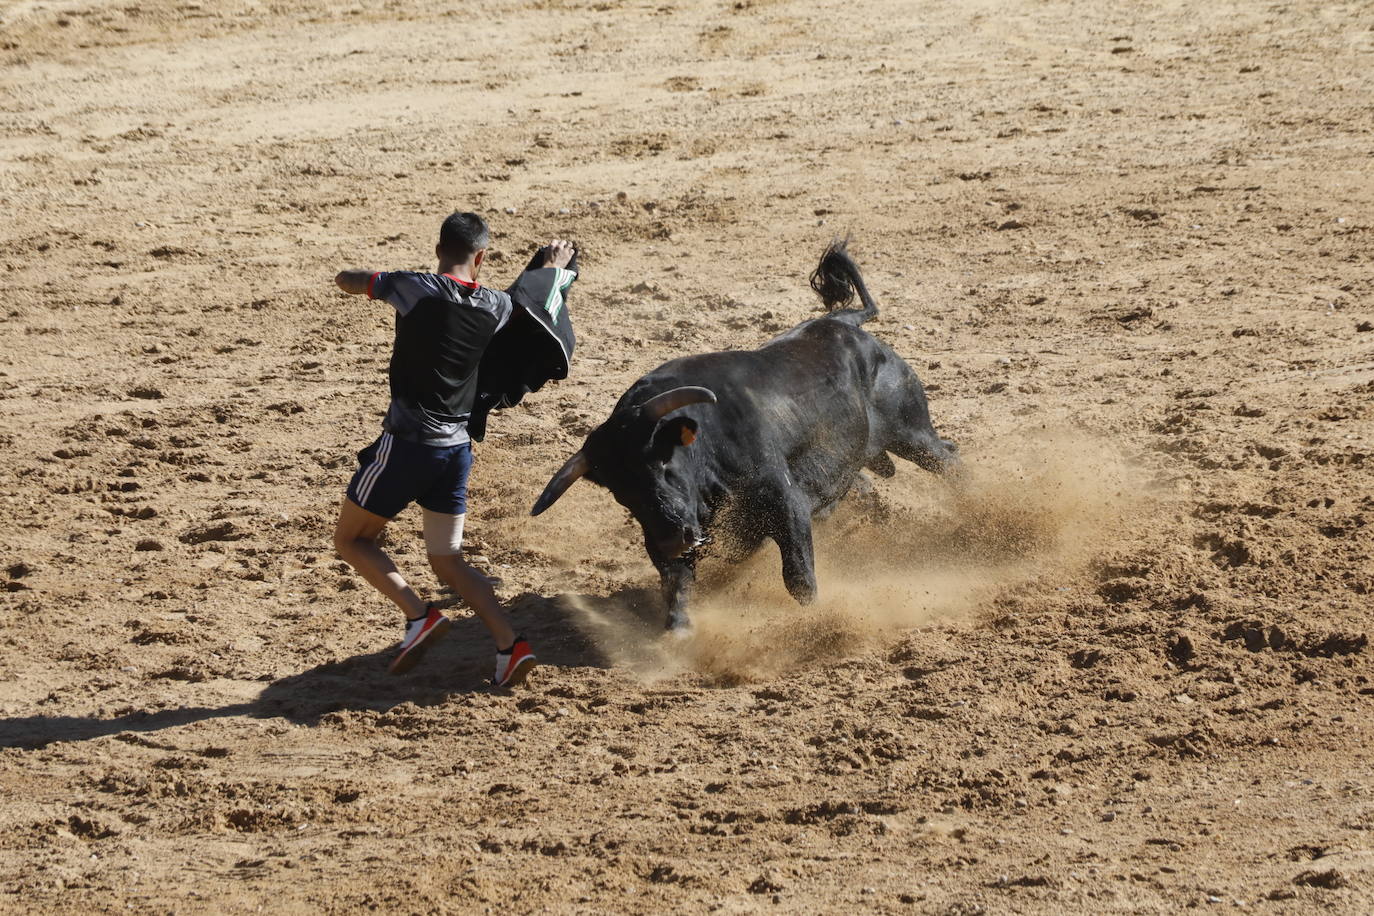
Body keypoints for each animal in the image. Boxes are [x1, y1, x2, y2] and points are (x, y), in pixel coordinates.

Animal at [524, 240, 956, 634]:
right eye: (621, 494)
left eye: (664, 464)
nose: (672, 538)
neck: (708, 448)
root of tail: (846, 324)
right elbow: (677, 585)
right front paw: (678, 629)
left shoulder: (786, 504)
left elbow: (798, 578)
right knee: (866, 487)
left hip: (912, 433)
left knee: (949, 460)